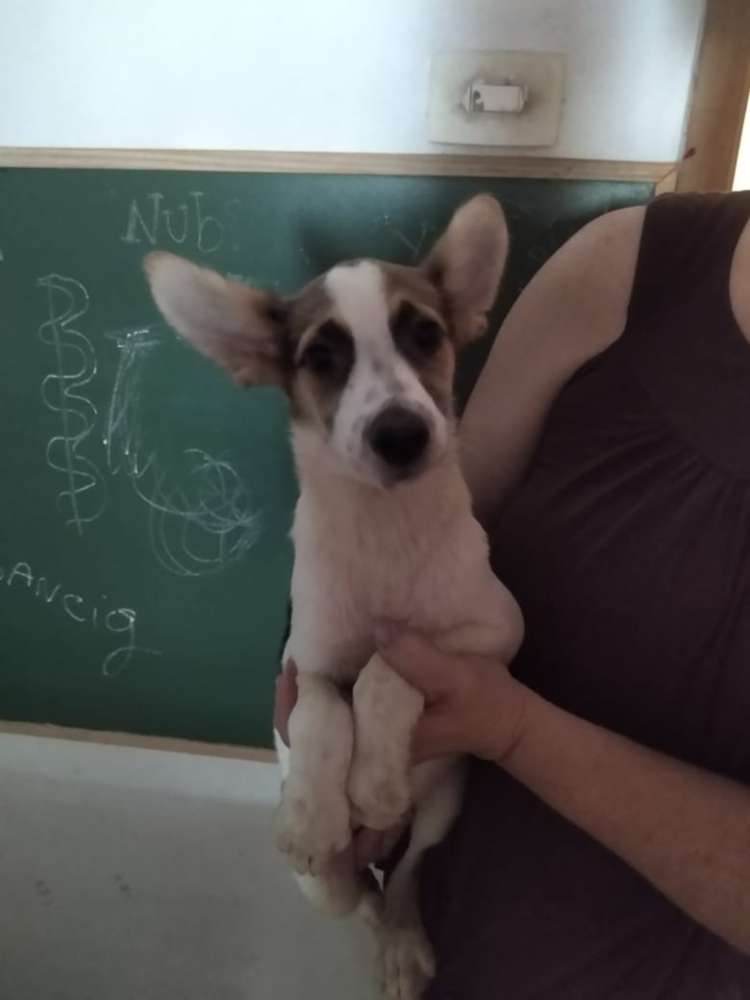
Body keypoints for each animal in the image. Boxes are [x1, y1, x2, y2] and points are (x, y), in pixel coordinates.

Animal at [144, 194, 524, 999]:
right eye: (321, 356)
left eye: (425, 333)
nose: (401, 435)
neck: (385, 530)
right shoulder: (299, 662)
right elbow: (321, 707)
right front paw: (318, 812)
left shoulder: (498, 630)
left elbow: (387, 665)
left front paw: (373, 780)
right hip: (322, 889)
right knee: (360, 895)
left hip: (443, 810)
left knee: (403, 879)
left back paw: (405, 941)